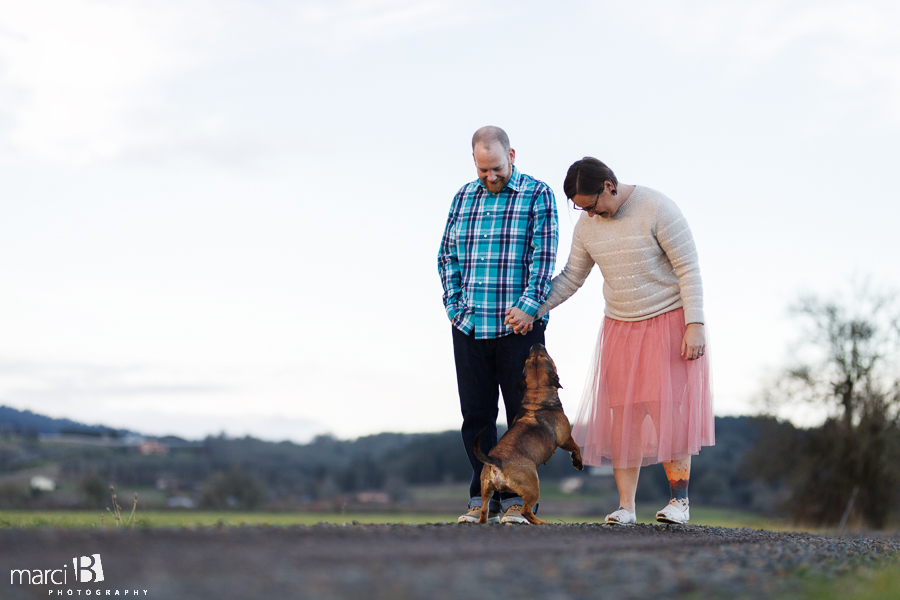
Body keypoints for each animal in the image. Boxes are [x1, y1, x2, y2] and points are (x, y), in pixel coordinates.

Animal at [472, 342, 584, 524]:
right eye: (547, 357)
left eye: (529, 359)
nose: (536, 344)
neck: (537, 396)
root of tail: (496, 462)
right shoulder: (566, 439)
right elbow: (576, 448)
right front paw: (578, 463)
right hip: (533, 487)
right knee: (526, 510)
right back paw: (542, 523)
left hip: (486, 490)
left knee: (484, 509)